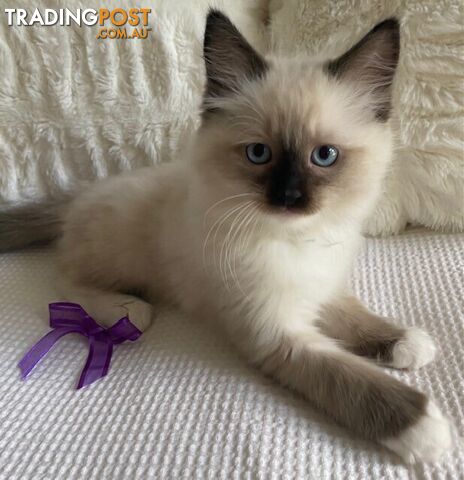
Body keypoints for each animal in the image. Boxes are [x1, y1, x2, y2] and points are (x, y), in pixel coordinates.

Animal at [0, 10, 450, 462]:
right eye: (258, 153)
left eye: (324, 156)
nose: (289, 197)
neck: (295, 242)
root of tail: (79, 194)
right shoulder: (276, 333)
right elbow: (352, 380)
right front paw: (427, 430)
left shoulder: (321, 287)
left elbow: (359, 320)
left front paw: (407, 343)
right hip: (117, 256)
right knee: (64, 278)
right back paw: (129, 309)